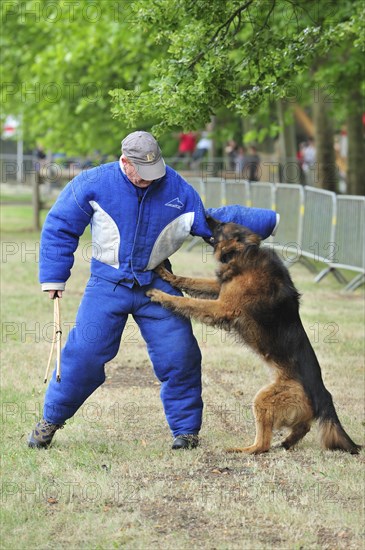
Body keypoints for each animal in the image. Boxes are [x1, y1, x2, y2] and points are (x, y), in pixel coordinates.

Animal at [146, 218, 360, 454]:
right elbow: (191, 281)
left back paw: (242, 449)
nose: (207, 214)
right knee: (303, 427)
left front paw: (161, 295)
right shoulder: (220, 289)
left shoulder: (222, 306)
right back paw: (285, 442)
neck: (245, 252)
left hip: (264, 399)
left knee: (263, 444)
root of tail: (323, 393)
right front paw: (167, 275)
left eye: (221, 225)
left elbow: (188, 302)